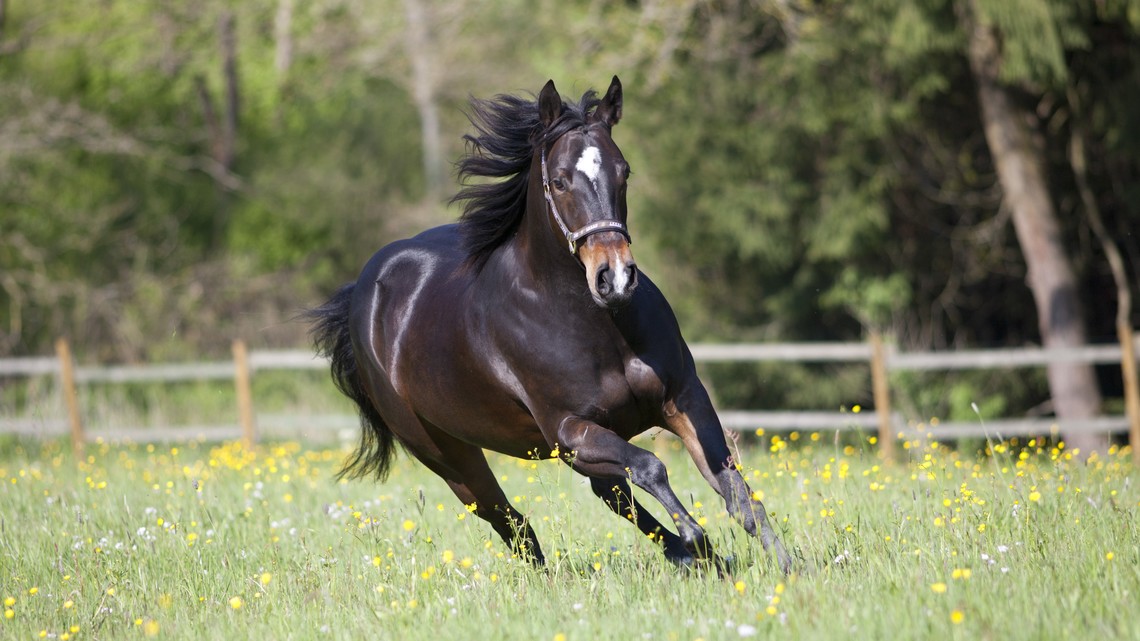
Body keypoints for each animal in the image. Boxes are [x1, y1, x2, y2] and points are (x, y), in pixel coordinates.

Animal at [310, 75, 793, 574]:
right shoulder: (569, 429)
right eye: (559, 181)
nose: (615, 278)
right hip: (446, 453)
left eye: (624, 171)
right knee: (510, 519)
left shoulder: (683, 399)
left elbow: (735, 491)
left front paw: (788, 570)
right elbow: (651, 466)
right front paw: (697, 537)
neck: (597, 327)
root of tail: (363, 292)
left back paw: (692, 558)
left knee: (607, 495)